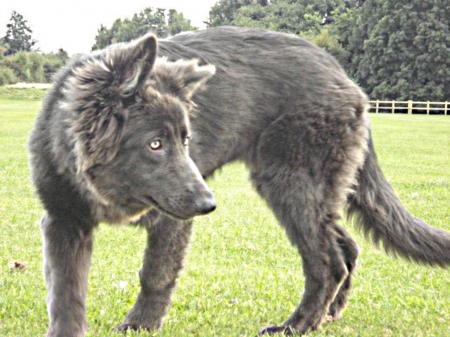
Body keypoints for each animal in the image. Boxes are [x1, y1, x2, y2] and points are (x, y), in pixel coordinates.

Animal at [29, 27, 448, 334]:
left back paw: (295, 326)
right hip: (311, 191)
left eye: (185, 141)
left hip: (291, 185)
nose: (208, 205)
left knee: (328, 262)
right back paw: (328, 314)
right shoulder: (63, 222)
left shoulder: (170, 221)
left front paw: (139, 326)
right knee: (346, 247)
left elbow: (155, 275)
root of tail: (342, 74)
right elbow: (65, 290)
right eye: (155, 144)